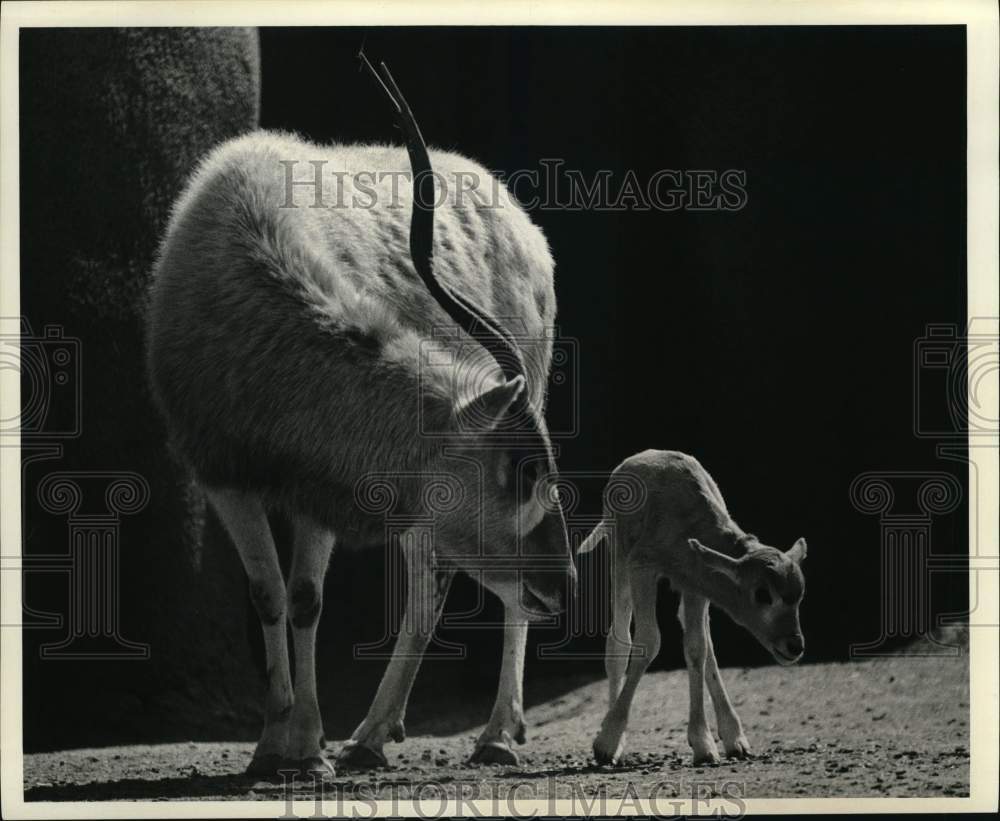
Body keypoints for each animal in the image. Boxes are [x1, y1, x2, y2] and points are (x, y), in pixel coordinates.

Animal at [145, 52, 576, 776]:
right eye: (522, 471)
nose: (566, 584)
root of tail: (526, 227)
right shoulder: (224, 475)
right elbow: (269, 595)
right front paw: (270, 746)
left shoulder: (320, 486)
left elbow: (305, 598)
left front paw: (307, 747)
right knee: (438, 583)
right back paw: (372, 736)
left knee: (466, 591)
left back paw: (487, 734)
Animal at [584, 448, 808, 764]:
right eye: (763, 594)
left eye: (800, 594)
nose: (794, 645)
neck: (685, 522)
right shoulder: (642, 566)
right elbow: (648, 642)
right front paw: (606, 741)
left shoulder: (696, 583)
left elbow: (697, 648)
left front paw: (703, 743)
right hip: (619, 558)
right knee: (618, 640)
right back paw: (613, 739)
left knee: (704, 644)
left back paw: (735, 737)